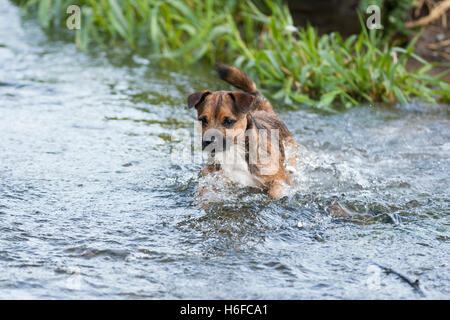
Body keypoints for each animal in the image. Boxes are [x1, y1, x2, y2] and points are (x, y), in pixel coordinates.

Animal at [187, 63, 296, 198]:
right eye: (202, 120)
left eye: (228, 121)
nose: (208, 141)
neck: (235, 151)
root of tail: (265, 111)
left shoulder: (279, 180)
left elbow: (275, 192)